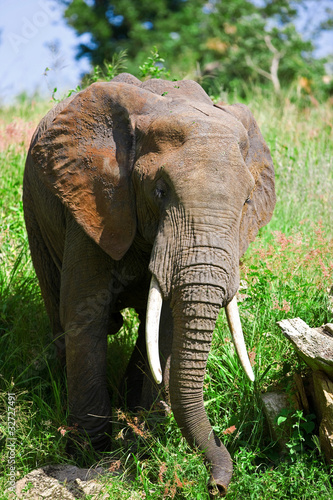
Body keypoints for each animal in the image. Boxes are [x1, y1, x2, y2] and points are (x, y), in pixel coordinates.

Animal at [23, 73, 274, 496]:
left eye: (245, 203)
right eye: (159, 191)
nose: (217, 487)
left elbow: (169, 325)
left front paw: (147, 441)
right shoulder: (96, 200)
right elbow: (83, 311)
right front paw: (89, 452)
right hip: (36, 211)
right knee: (57, 303)